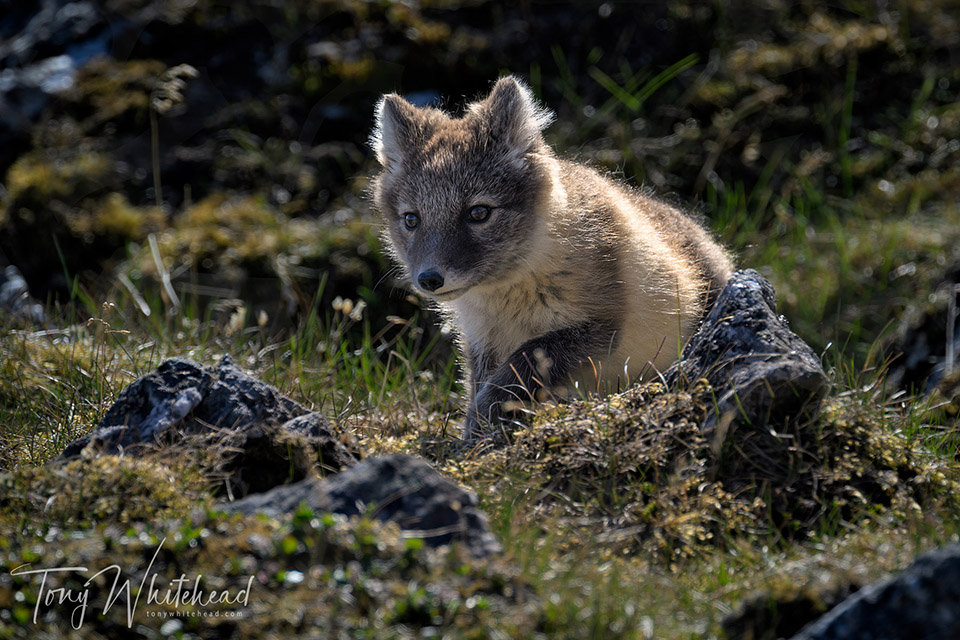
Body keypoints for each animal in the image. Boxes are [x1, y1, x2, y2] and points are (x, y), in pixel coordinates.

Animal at [369, 76, 733, 439]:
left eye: (478, 213)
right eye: (411, 220)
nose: (429, 279)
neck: (507, 296)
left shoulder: (601, 324)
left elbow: (522, 363)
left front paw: (481, 424)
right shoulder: (480, 340)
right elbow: (482, 382)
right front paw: (474, 432)